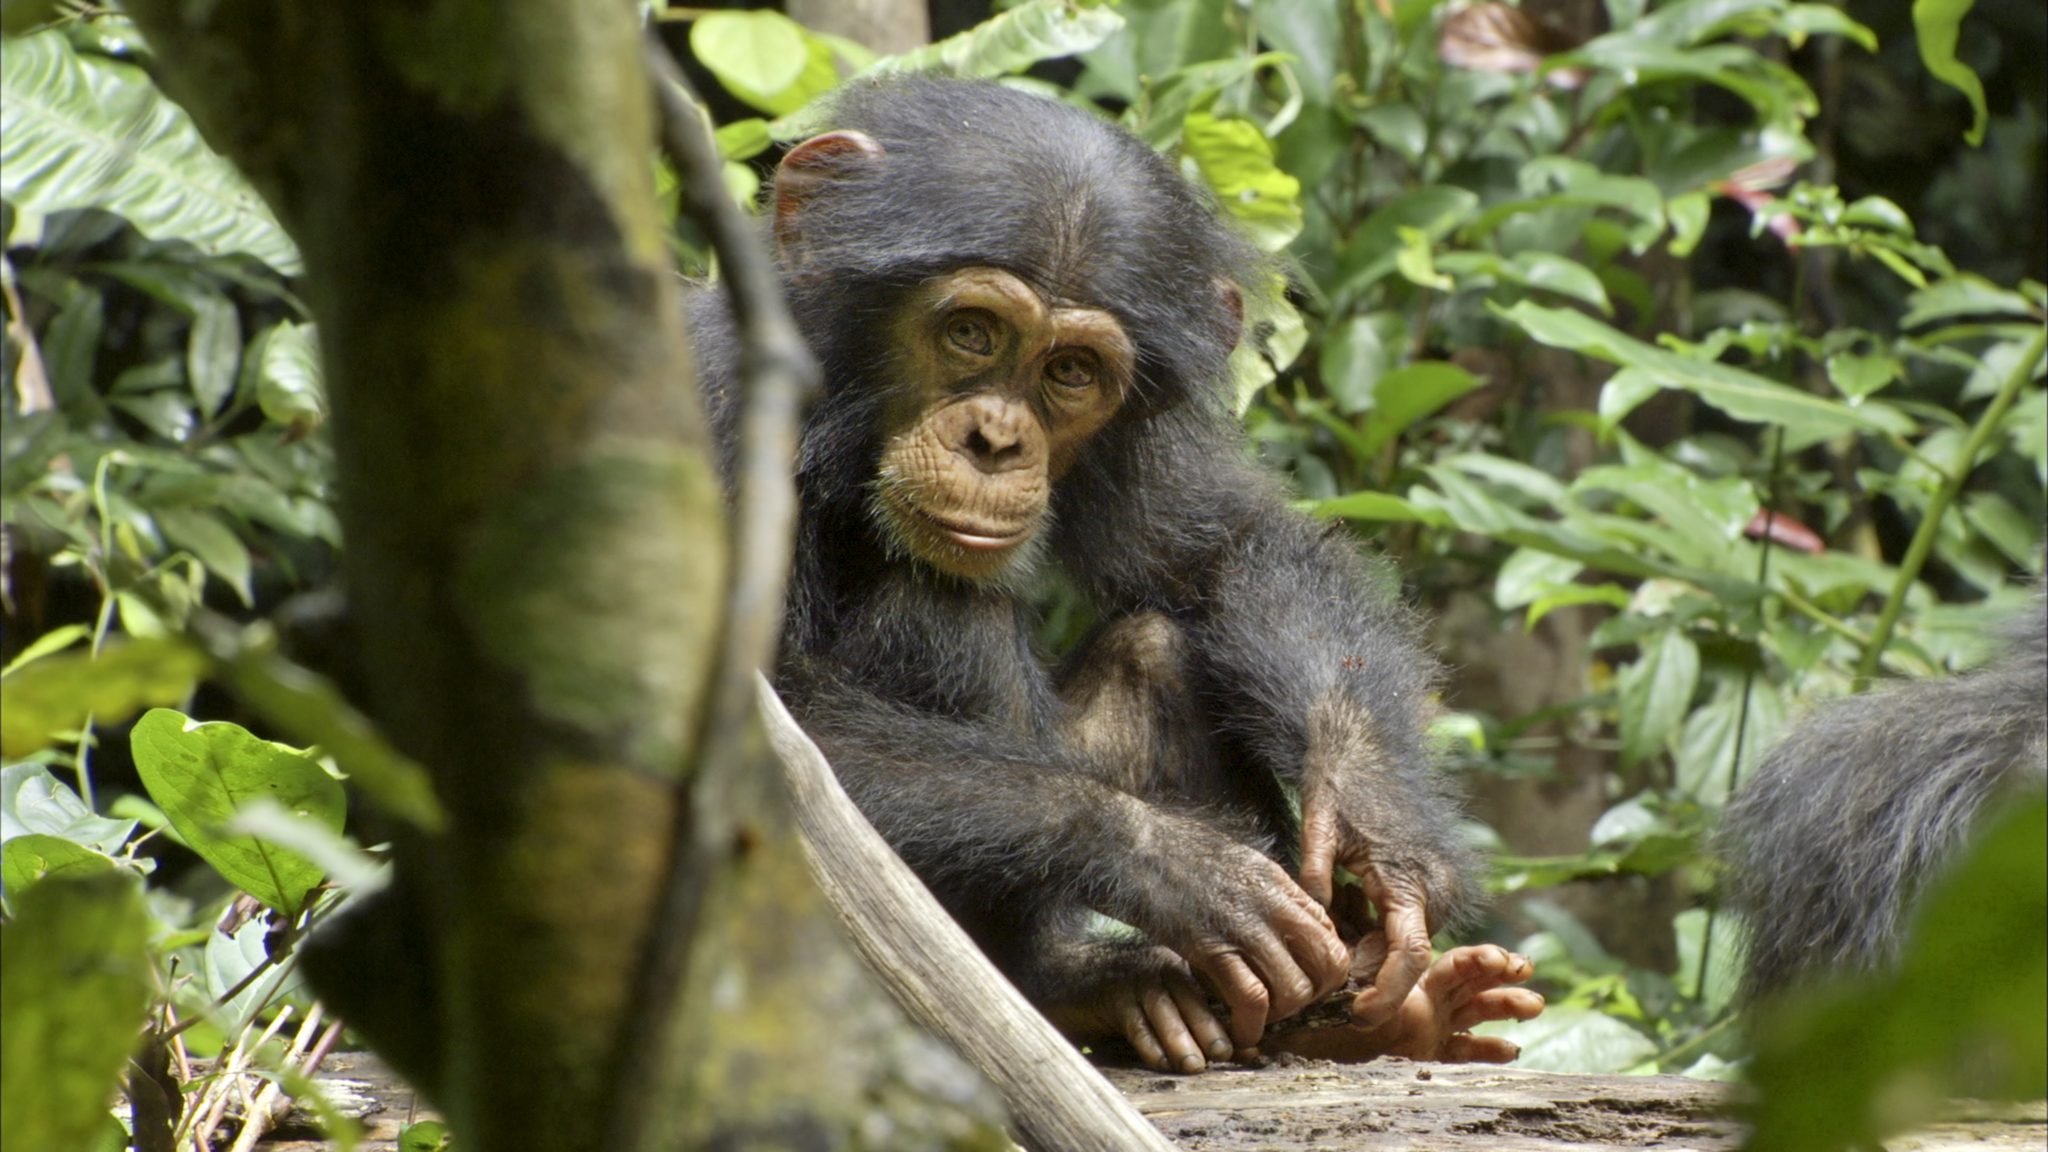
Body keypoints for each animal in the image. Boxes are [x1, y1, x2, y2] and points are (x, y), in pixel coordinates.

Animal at [686, 77, 1542, 1072]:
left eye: (1071, 371)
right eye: (970, 331)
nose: (995, 440)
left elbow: (1229, 547)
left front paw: (1380, 827)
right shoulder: (713, 409)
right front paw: (1174, 863)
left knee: (1158, 646)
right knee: (938, 602)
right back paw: (1081, 984)